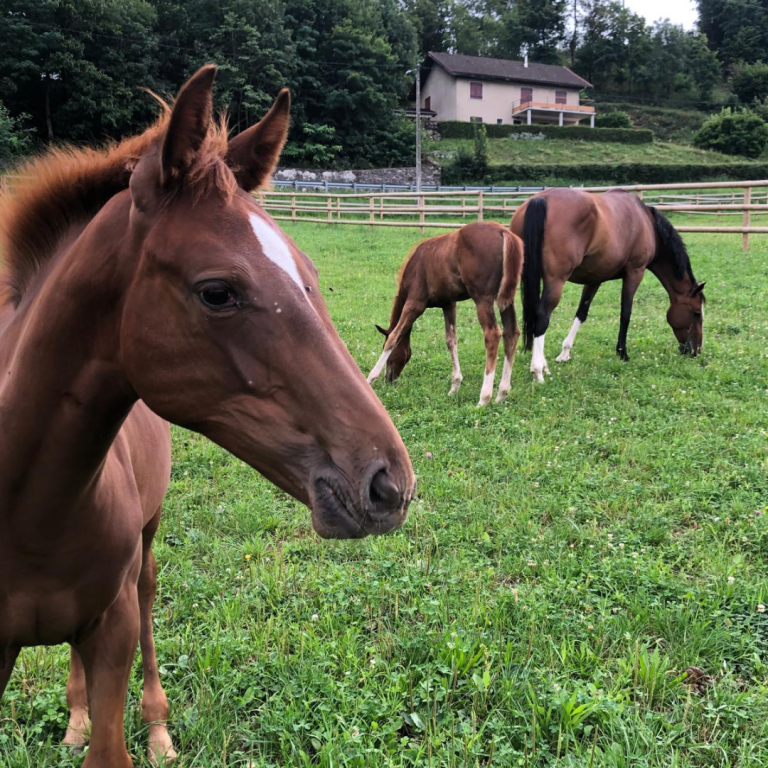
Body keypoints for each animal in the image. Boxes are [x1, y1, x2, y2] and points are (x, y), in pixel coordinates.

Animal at [0, 66, 415, 768]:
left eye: (310, 274)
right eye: (217, 291)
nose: (390, 484)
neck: (28, 510)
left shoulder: (112, 627)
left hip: (145, 550)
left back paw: (157, 729)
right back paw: (75, 717)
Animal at [367, 222, 523, 406]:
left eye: (383, 346)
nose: (389, 378)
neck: (416, 264)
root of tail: (503, 232)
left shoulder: (415, 303)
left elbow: (394, 336)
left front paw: (370, 378)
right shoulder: (448, 304)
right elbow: (451, 340)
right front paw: (454, 387)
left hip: (482, 298)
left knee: (492, 335)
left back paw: (484, 398)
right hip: (506, 300)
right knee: (511, 332)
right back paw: (501, 394)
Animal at [509, 188, 706, 382]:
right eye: (696, 313)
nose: (695, 351)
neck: (647, 223)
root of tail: (541, 200)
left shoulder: (594, 279)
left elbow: (581, 313)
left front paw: (565, 353)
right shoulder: (635, 272)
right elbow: (625, 314)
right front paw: (622, 353)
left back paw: (542, 366)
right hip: (555, 281)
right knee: (542, 317)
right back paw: (538, 371)